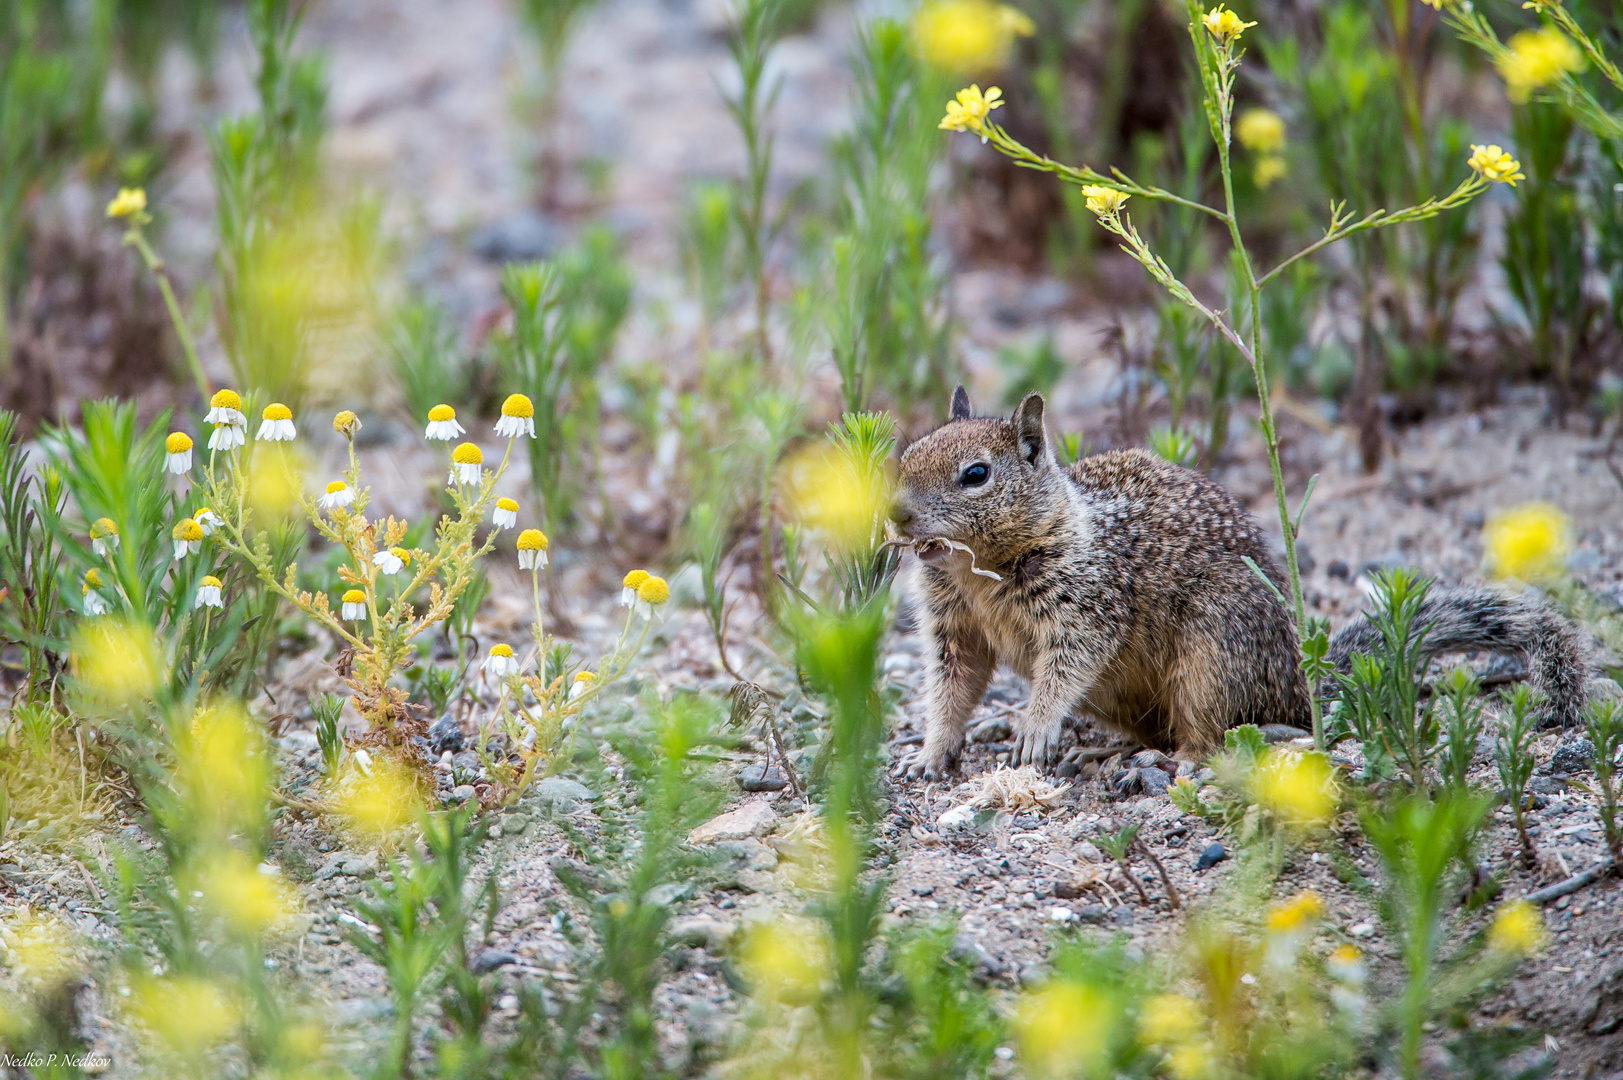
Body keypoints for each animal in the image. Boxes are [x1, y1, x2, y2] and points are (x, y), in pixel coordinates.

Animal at [889, 388, 1584, 776]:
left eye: (976, 474)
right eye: (907, 455)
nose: (895, 515)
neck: (977, 569)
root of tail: (1299, 682)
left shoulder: (1085, 603)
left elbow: (1065, 667)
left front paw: (1034, 730)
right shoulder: (953, 629)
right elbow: (952, 688)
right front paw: (930, 753)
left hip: (1212, 658)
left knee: (1216, 735)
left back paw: (1162, 759)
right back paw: (1104, 752)